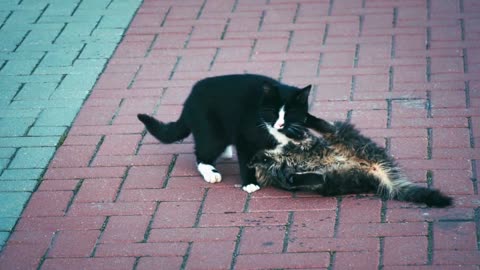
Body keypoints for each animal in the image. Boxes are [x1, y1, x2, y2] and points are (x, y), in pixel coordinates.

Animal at [139, 73, 312, 193]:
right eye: (272, 112)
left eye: (290, 113)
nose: (280, 123)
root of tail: (190, 98)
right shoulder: (244, 139)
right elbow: (246, 162)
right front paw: (250, 183)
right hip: (211, 131)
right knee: (202, 154)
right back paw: (211, 172)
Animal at [248, 113, 454, 207]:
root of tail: (373, 166)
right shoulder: (280, 174)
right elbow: (286, 176)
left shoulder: (304, 144)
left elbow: (302, 140)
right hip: (340, 179)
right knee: (320, 179)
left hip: (344, 139)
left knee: (329, 127)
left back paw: (308, 118)